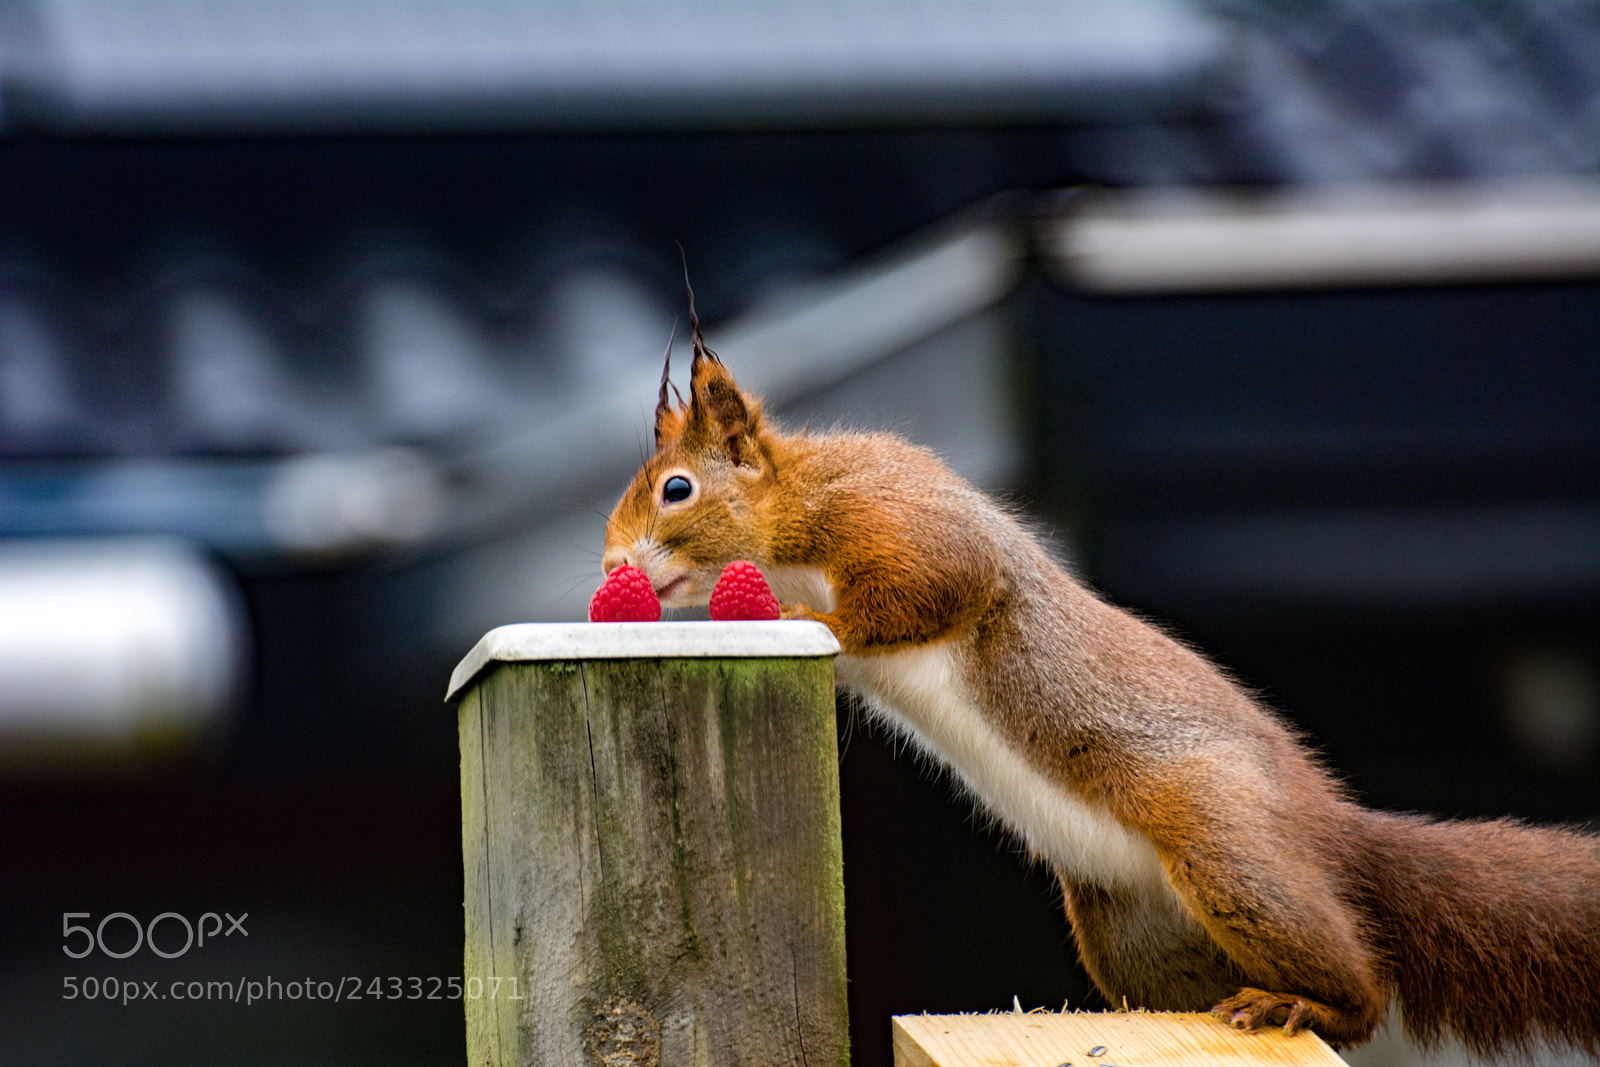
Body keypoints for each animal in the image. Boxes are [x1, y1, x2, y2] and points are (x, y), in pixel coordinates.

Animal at [599, 325, 1600, 1055]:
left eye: (677, 490)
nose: (611, 567)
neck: (793, 518)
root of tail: (1328, 832)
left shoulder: (897, 515)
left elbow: (932, 587)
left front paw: (819, 621)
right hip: (1125, 927)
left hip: (1225, 845)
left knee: (1361, 982)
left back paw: (1305, 1006)